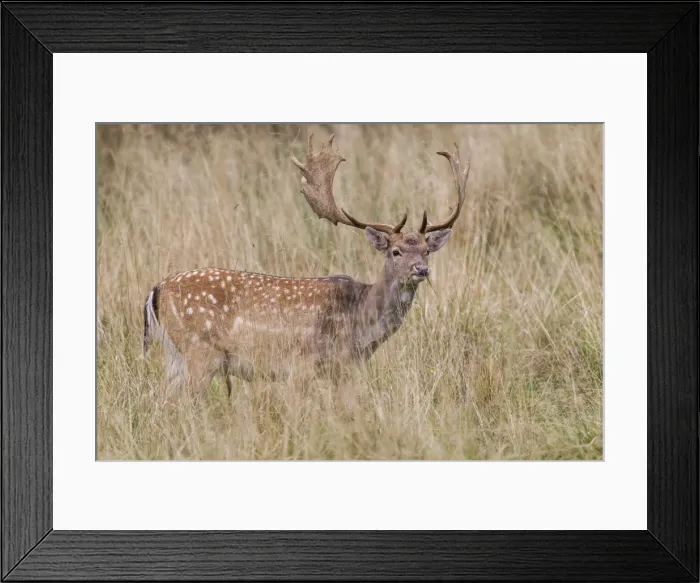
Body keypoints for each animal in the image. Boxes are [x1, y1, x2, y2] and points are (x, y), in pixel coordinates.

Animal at [142, 134, 470, 396]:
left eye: (427, 250)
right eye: (396, 251)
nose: (421, 270)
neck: (360, 325)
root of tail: (156, 290)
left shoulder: (345, 368)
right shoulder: (303, 366)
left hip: (176, 356)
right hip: (201, 351)